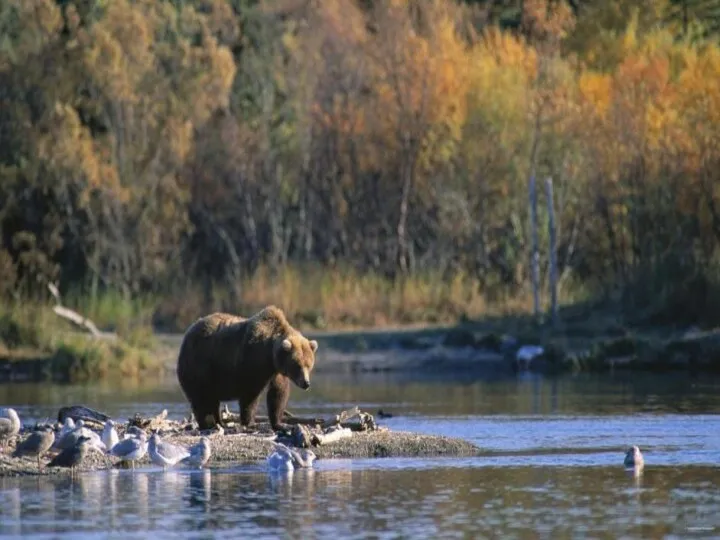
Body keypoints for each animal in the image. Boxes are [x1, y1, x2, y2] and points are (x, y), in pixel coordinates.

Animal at [175, 306, 318, 432]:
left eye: (309, 365)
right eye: (297, 365)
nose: (306, 383)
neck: (270, 353)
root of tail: (188, 332)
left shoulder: (276, 371)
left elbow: (278, 394)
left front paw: (279, 424)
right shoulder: (252, 361)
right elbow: (250, 394)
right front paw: (249, 422)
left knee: (212, 400)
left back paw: (220, 422)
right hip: (200, 363)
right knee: (201, 396)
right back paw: (208, 423)